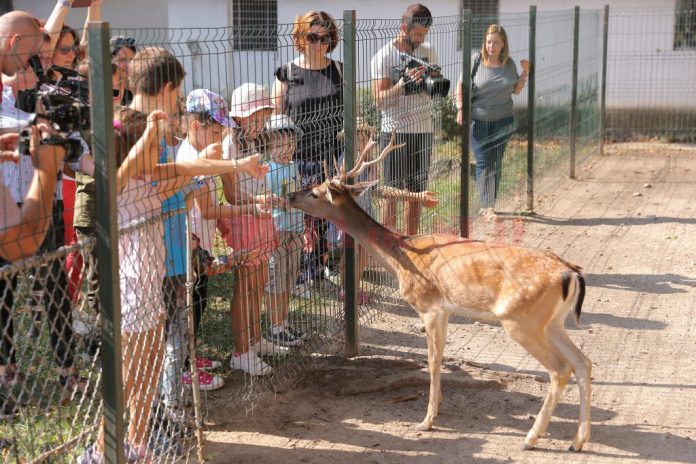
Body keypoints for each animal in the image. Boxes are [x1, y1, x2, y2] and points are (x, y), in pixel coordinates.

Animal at [288, 132, 592, 452]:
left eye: (315, 192)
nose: (290, 196)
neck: (401, 256)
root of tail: (571, 273)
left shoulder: (428, 306)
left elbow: (433, 362)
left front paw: (427, 420)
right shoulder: (445, 310)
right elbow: (442, 357)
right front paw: (439, 408)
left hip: (522, 320)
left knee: (560, 369)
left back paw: (531, 438)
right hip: (553, 322)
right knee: (583, 362)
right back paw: (577, 441)